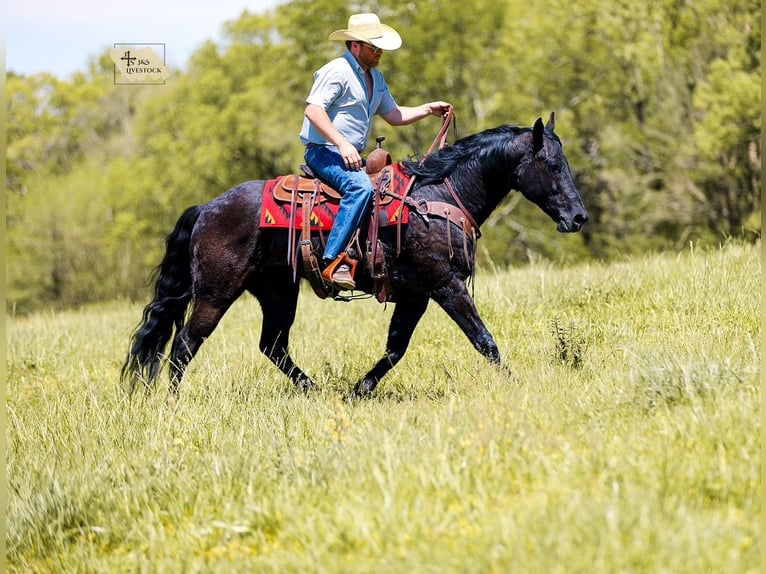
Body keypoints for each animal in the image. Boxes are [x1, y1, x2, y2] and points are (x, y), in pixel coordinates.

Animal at [121, 113, 588, 397]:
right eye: (552, 164)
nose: (578, 217)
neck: (437, 196)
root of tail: (205, 208)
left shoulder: (417, 295)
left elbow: (396, 348)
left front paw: (359, 390)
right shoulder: (445, 285)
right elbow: (484, 340)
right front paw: (516, 385)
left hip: (278, 291)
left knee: (273, 345)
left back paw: (315, 392)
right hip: (216, 293)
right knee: (185, 343)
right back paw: (174, 402)